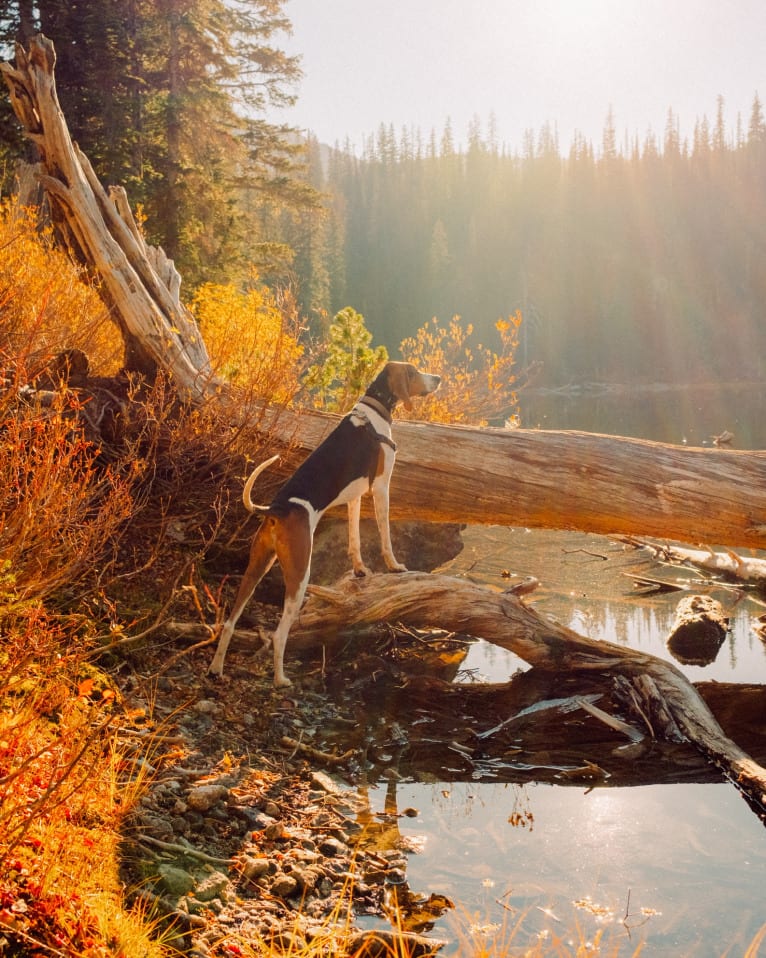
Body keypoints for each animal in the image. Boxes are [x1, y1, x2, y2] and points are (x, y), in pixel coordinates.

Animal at [210, 364, 440, 688]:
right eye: (413, 371)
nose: (438, 379)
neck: (373, 411)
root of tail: (276, 509)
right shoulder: (381, 487)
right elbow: (385, 535)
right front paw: (394, 566)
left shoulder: (356, 496)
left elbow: (355, 540)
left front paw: (360, 570)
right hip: (299, 574)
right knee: (279, 635)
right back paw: (280, 679)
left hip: (256, 567)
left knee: (229, 623)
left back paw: (216, 668)